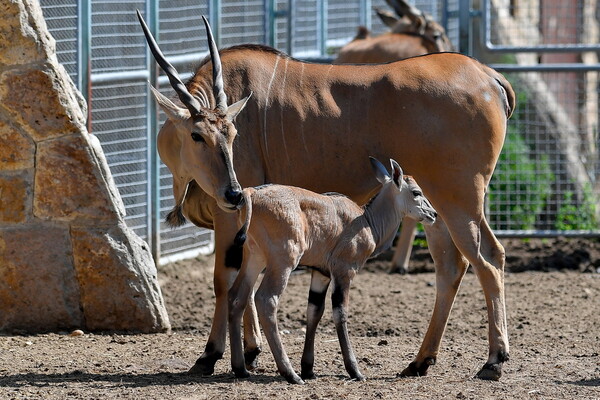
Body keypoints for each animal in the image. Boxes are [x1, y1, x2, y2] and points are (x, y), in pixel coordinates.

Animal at [225, 157, 436, 384]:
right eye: (416, 192)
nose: (433, 214)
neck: (366, 220)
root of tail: (252, 194)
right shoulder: (344, 270)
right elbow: (340, 312)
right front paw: (354, 370)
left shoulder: (321, 273)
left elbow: (314, 311)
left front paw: (308, 368)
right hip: (283, 262)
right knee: (266, 299)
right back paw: (290, 373)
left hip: (254, 259)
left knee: (236, 296)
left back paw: (240, 368)